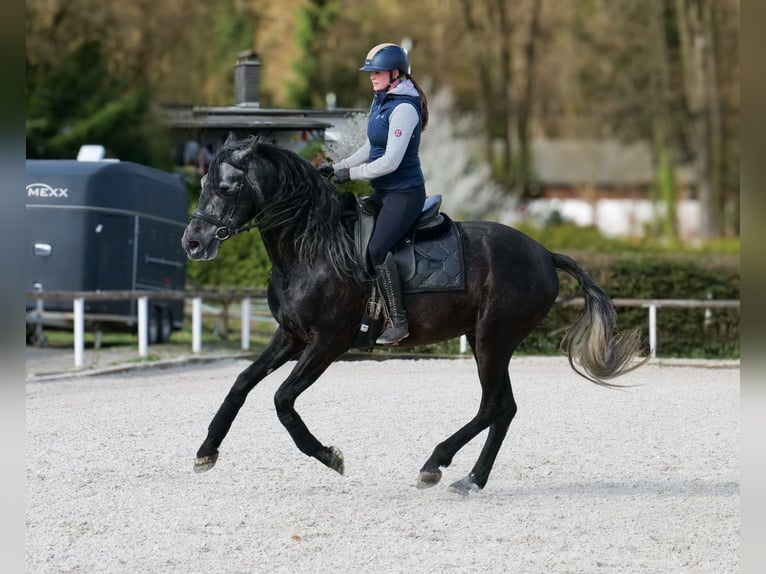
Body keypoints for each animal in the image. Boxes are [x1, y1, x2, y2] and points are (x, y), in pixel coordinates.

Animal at [181, 134, 647, 494]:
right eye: (202, 181)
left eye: (226, 187)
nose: (193, 242)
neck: (310, 246)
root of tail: (545, 254)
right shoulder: (291, 335)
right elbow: (241, 384)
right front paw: (206, 451)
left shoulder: (328, 342)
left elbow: (282, 400)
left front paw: (329, 456)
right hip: (488, 341)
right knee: (505, 408)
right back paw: (472, 479)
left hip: (493, 339)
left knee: (492, 406)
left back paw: (435, 464)